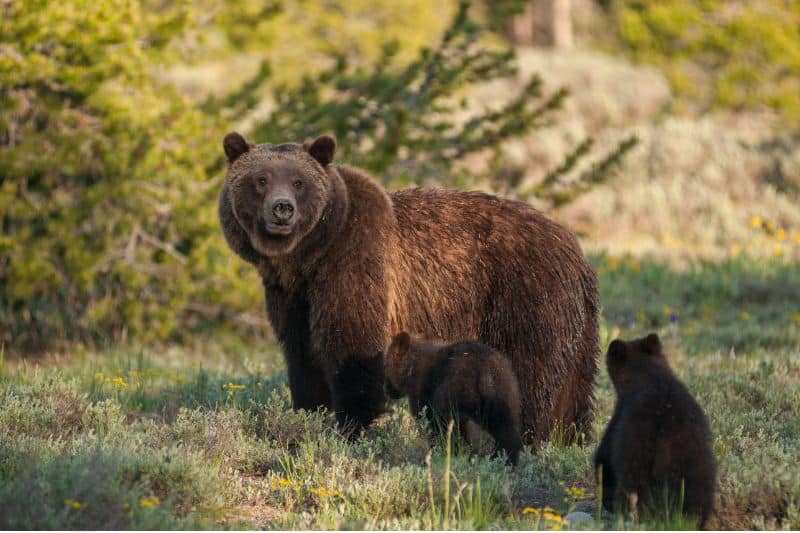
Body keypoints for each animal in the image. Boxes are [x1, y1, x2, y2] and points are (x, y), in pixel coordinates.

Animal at [219, 131, 600, 438]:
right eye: (261, 179)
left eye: (299, 181)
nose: (282, 209)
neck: (309, 257)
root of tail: (578, 253)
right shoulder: (291, 295)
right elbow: (303, 353)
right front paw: (310, 412)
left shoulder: (355, 261)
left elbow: (352, 344)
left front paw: (353, 425)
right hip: (577, 327)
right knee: (574, 390)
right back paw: (570, 438)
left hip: (526, 297)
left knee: (530, 375)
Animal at [382, 332, 520, 462]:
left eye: (385, 366)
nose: (386, 389)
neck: (411, 370)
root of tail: (486, 373)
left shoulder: (423, 395)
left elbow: (430, 425)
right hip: (504, 395)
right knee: (506, 432)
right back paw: (504, 460)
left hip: (457, 393)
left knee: (455, 429)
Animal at [592, 332, 720, 528]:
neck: (649, 375)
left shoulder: (621, 416)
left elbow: (605, 456)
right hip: (698, 462)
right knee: (699, 495)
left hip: (639, 453)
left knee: (631, 486)